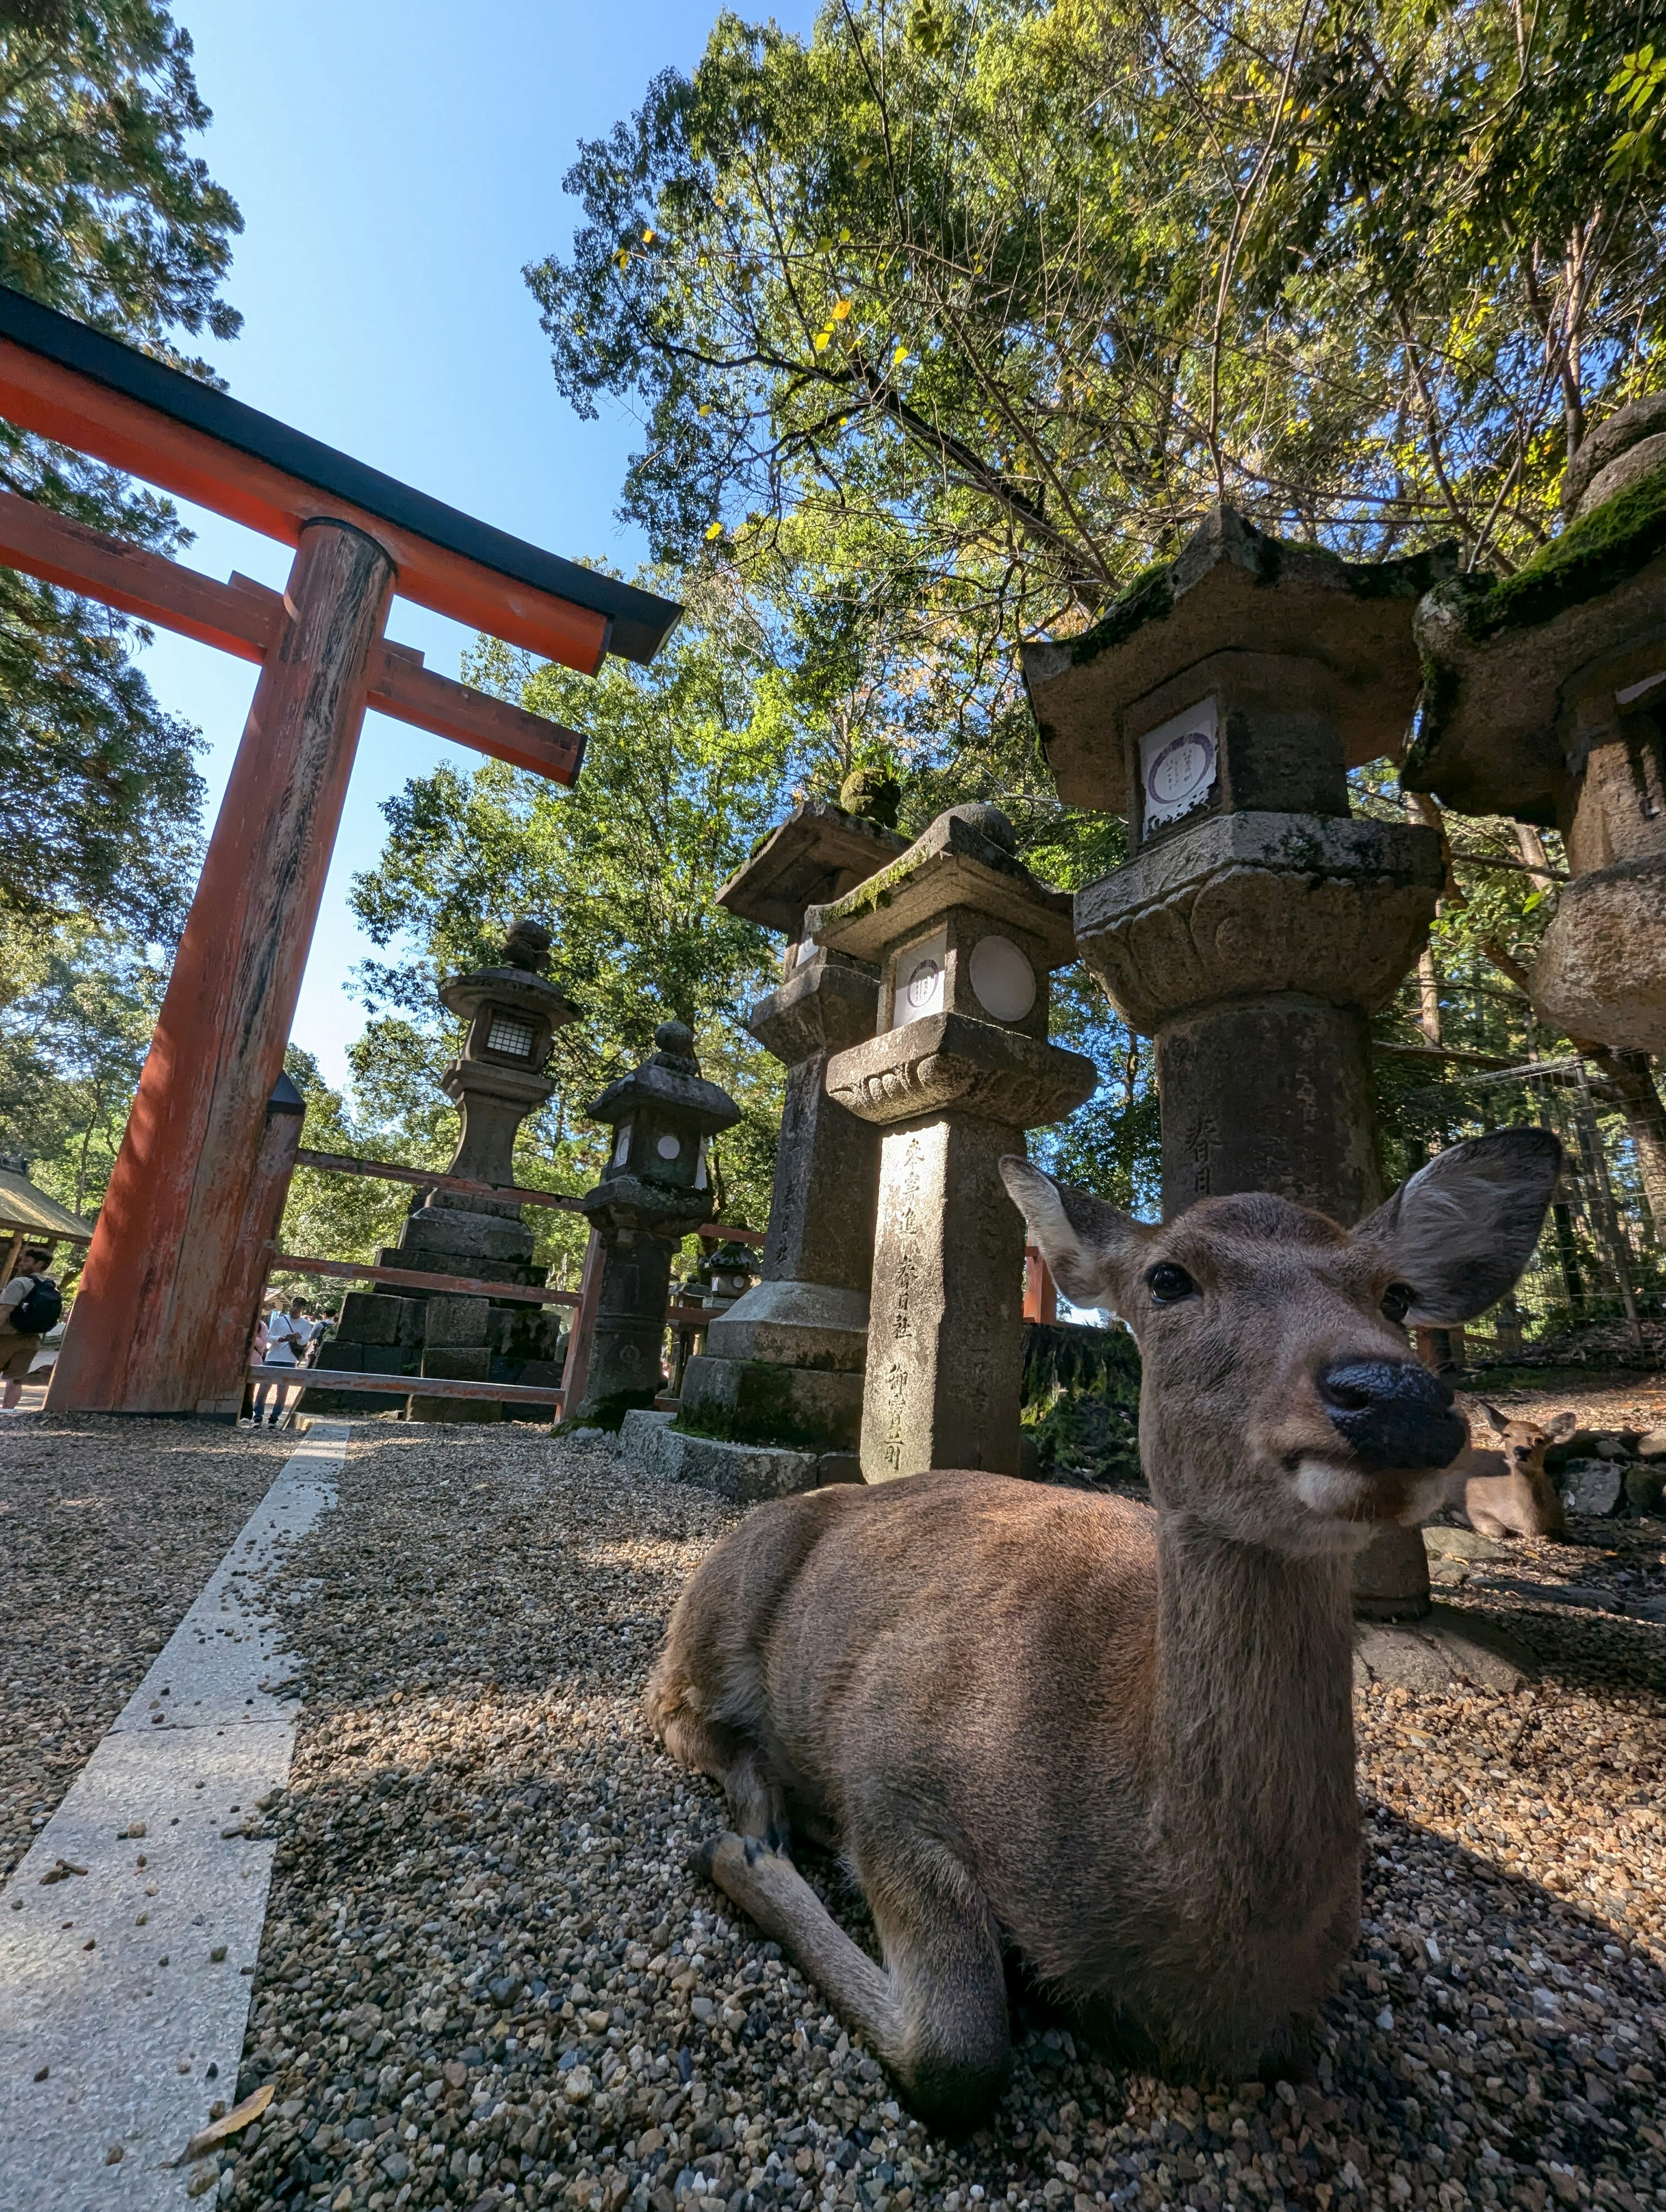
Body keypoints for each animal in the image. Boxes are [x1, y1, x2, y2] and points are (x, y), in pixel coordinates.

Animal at [650, 1132, 1558, 2132]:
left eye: (1395, 1294)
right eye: (1168, 1278)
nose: (1396, 1395)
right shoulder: (890, 1771)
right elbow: (958, 2055)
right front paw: (743, 1860)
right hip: (725, 1601)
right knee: (674, 1711)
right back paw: (762, 1819)